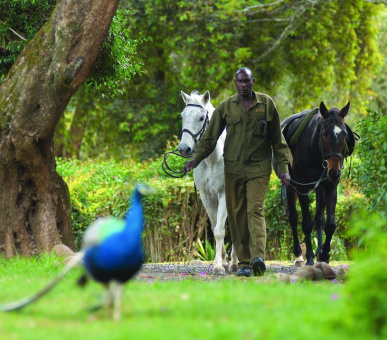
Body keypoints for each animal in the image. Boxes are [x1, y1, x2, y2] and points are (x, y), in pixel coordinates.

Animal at [177, 91, 238, 276]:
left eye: (201, 117)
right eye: (182, 116)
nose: (183, 149)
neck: (212, 159)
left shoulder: (224, 194)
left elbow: (219, 231)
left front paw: (218, 266)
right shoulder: (206, 196)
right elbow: (214, 226)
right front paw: (222, 262)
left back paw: (235, 263)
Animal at [278, 101, 356, 266]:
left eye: (344, 135)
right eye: (324, 133)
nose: (334, 172)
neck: (315, 150)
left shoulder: (331, 186)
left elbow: (330, 224)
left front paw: (325, 254)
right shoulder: (302, 187)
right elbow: (306, 224)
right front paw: (309, 256)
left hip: (320, 188)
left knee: (319, 219)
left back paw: (319, 252)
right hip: (290, 185)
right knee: (293, 218)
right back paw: (298, 255)